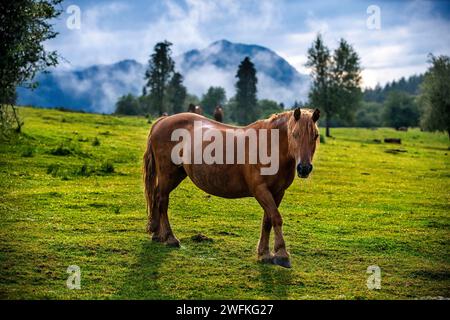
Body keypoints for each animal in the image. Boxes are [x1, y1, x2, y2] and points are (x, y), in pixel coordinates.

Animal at [144, 107, 320, 268]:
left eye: (316, 136)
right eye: (295, 134)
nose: (304, 168)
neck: (270, 147)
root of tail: (162, 121)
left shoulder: (277, 192)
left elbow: (268, 221)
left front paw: (264, 253)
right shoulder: (260, 190)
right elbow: (276, 218)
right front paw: (282, 254)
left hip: (176, 175)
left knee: (157, 197)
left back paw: (157, 234)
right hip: (168, 175)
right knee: (162, 201)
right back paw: (169, 238)